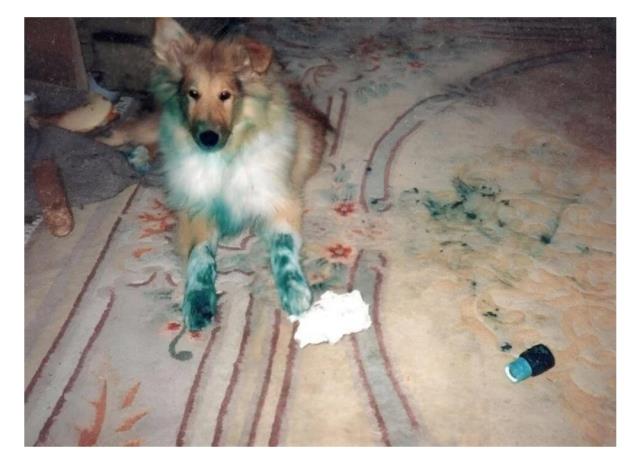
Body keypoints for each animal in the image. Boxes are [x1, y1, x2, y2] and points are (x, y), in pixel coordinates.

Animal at [101, 18, 330, 330]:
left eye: (225, 95)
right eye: (193, 93)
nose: (207, 138)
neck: (225, 159)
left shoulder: (280, 202)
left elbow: (283, 249)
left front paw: (295, 291)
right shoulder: (196, 209)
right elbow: (200, 256)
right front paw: (198, 301)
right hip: (158, 127)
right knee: (127, 134)